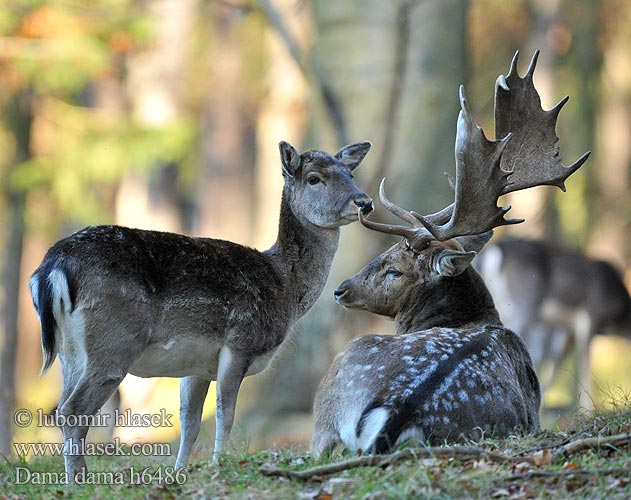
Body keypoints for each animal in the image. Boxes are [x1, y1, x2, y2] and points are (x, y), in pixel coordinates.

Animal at [30, 139, 376, 478]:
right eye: (314, 178)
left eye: (350, 174)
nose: (364, 202)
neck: (285, 287)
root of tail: (52, 267)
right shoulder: (241, 341)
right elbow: (226, 413)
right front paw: (217, 464)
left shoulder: (196, 365)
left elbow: (190, 421)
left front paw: (179, 472)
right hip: (113, 341)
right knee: (73, 410)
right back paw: (79, 480)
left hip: (70, 354)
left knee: (63, 406)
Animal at [478, 236, 631, 408]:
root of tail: (494, 252)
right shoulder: (590, 314)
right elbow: (584, 364)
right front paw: (587, 410)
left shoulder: (567, 329)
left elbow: (557, 364)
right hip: (525, 305)